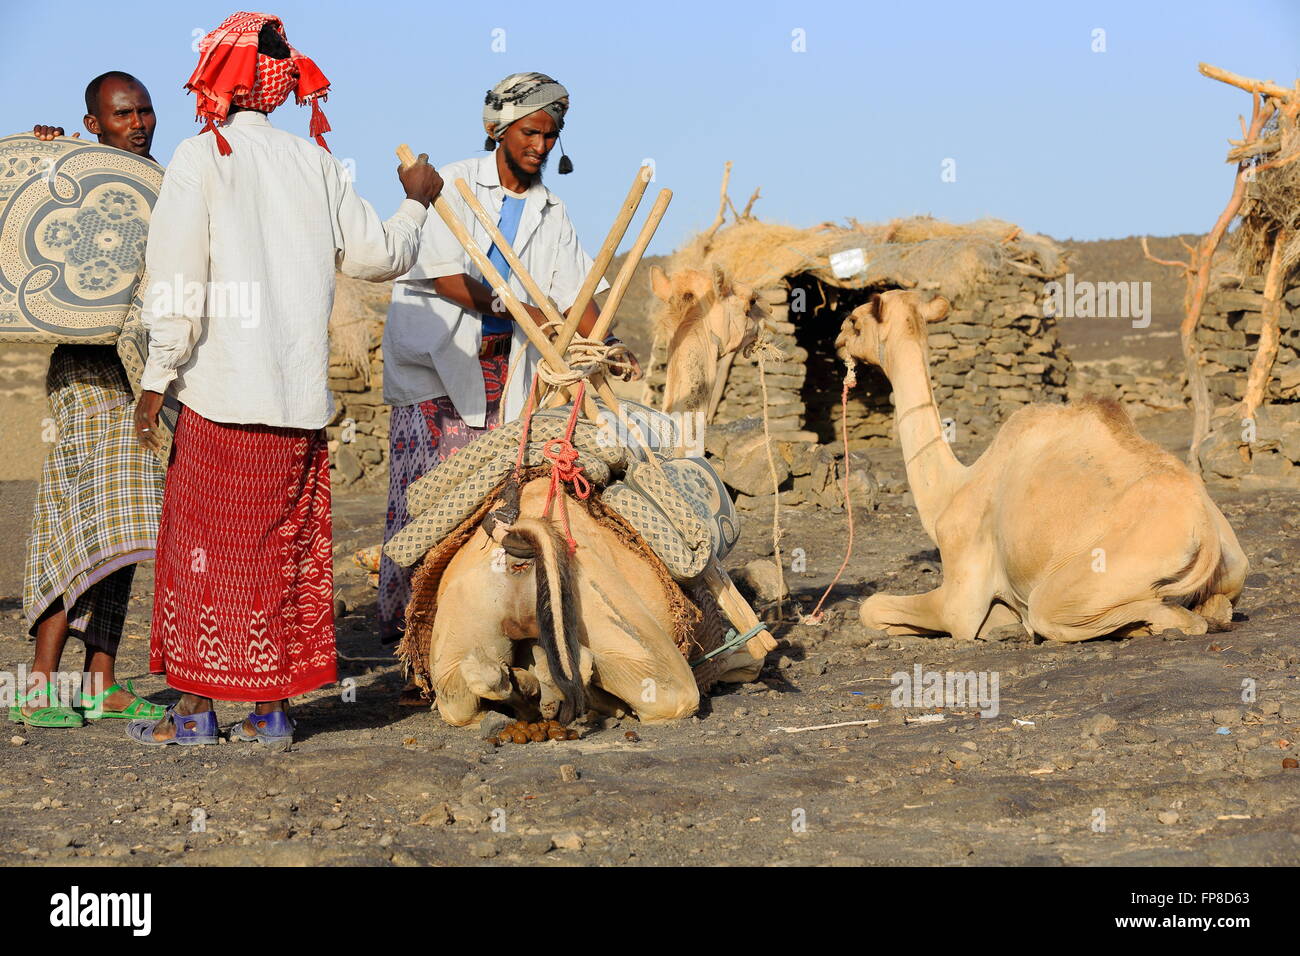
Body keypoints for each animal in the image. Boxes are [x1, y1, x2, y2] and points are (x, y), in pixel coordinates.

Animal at [832, 290, 1248, 642]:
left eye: (854, 320)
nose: (836, 339)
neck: (954, 487)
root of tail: (1206, 536)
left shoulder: (962, 594)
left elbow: (875, 606)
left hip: (1089, 578)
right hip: (1232, 566)